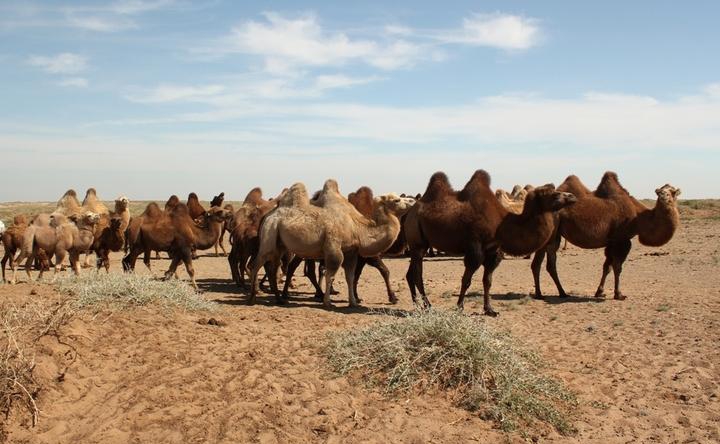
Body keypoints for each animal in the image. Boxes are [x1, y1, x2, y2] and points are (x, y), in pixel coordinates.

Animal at [249, 180, 414, 308]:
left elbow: (350, 276)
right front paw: (327, 301)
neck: (357, 227)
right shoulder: (333, 248)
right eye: (396, 200)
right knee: (258, 262)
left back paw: (279, 298)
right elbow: (330, 274)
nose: (412, 201)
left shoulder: (351, 252)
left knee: (273, 266)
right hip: (270, 233)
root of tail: (269, 215)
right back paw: (252, 296)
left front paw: (353, 302)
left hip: (280, 244)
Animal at [404, 170, 580, 316]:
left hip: (420, 245)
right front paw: (460, 307)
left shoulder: (493, 251)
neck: (502, 224)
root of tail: (409, 212)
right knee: (417, 273)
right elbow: (466, 280)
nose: (572, 196)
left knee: (410, 273)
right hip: (417, 242)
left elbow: (487, 281)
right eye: (555, 194)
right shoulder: (475, 248)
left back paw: (417, 305)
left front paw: (489, 309)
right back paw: (427, 306)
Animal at [528, 172, 680, 300]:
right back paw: (540, 294)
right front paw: (619, 294)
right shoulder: (621, 240)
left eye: (672, 192)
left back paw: (561, 293)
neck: (639, 217)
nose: (663, 197)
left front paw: (600, 292)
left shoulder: (611, 242)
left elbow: (607, 267)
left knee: (549, 265)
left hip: (556, 235)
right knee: (538, 264)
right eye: (660, 192)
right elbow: (617, 267)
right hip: (550, 234)